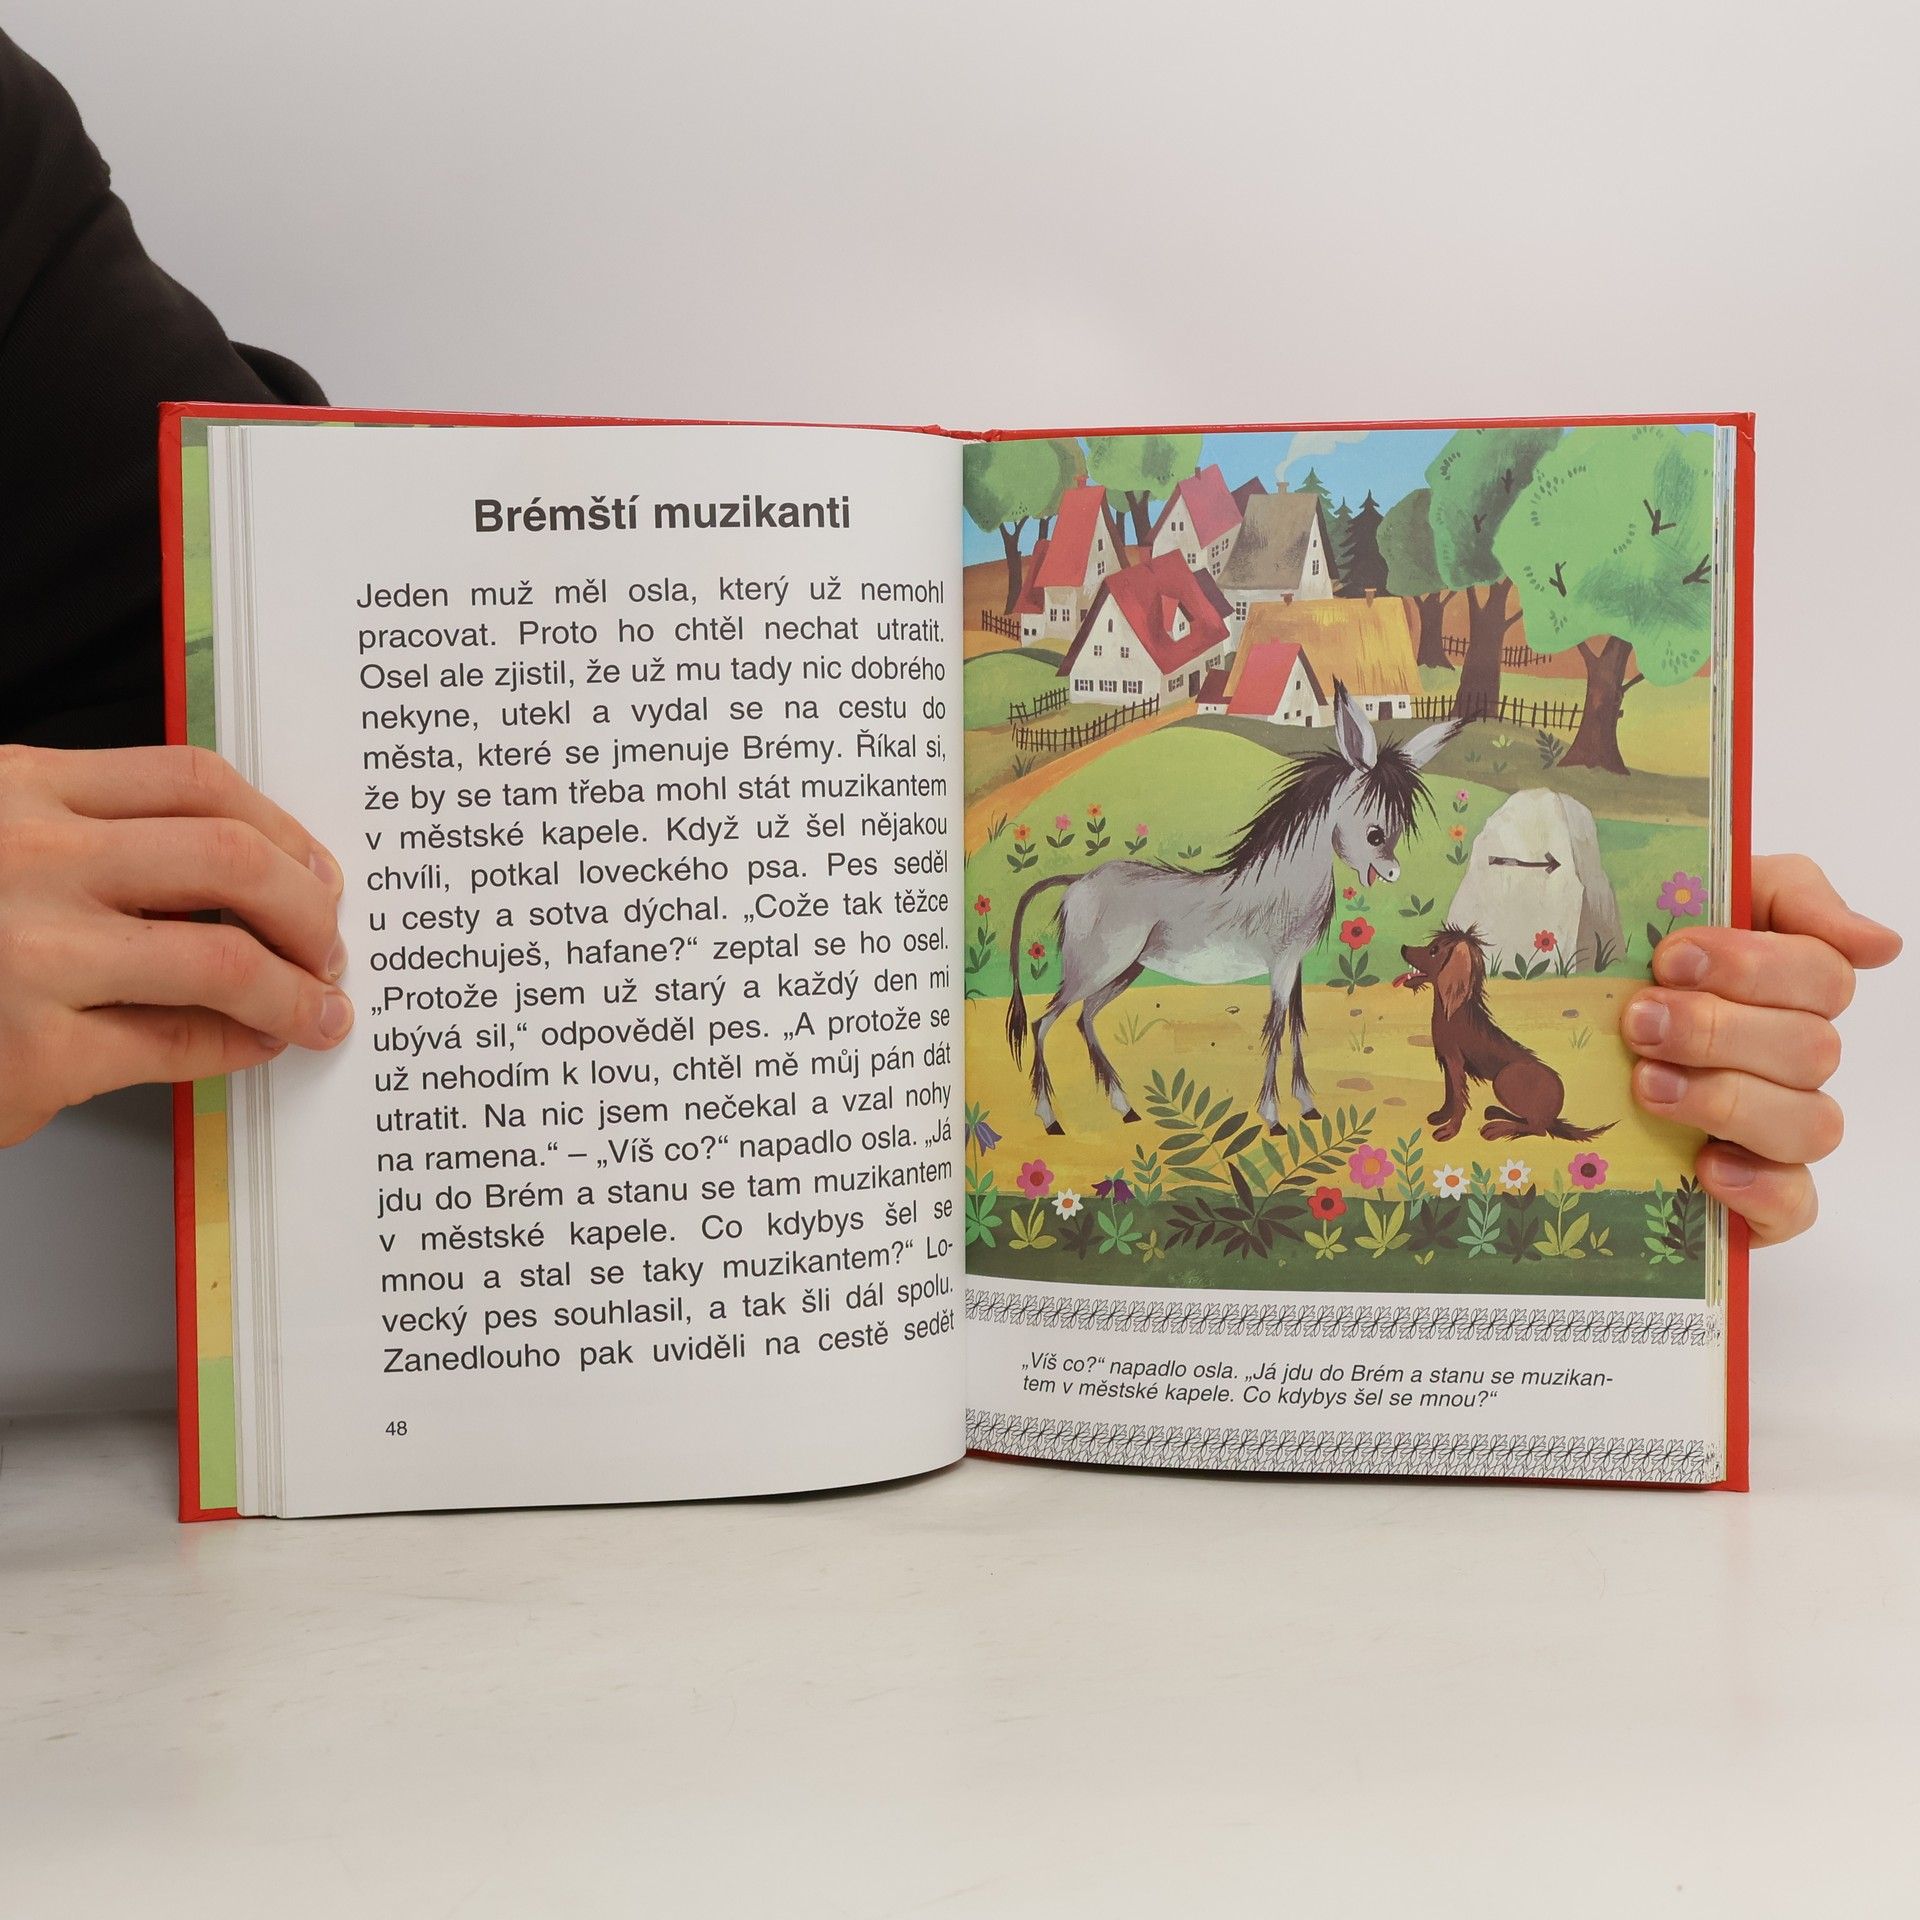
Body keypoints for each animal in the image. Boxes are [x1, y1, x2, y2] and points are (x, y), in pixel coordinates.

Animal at [1006, 682, 1456, 1135]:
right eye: (1375, 833)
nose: (1393, 873)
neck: (1284, 882)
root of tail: (1077, 881)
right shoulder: (1280, 964)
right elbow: (1275, 1027)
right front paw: (1273, 1118)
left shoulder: (1295, 965)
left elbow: (1296, 1025)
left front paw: (1308, 1106)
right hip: (1095, 968)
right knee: (1044, 1023)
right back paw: (1050, 1119)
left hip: (1123, 971)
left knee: (1085, 1019)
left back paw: (1125, 1108)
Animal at [1394, 926, 1612, 1144]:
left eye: (1434, 950)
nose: (1403, 948)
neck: (1453, 1012)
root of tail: (1555, 1115)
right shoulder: (1447, 1061)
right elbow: (1450, 1095)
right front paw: (1441, 1116)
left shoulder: (1455, 1062)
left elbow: (1459, 1099)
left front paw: (1450, 1130)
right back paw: (1495, 1112)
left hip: (1504, 1079)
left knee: (1538, 1128)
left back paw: (1497, 1128)